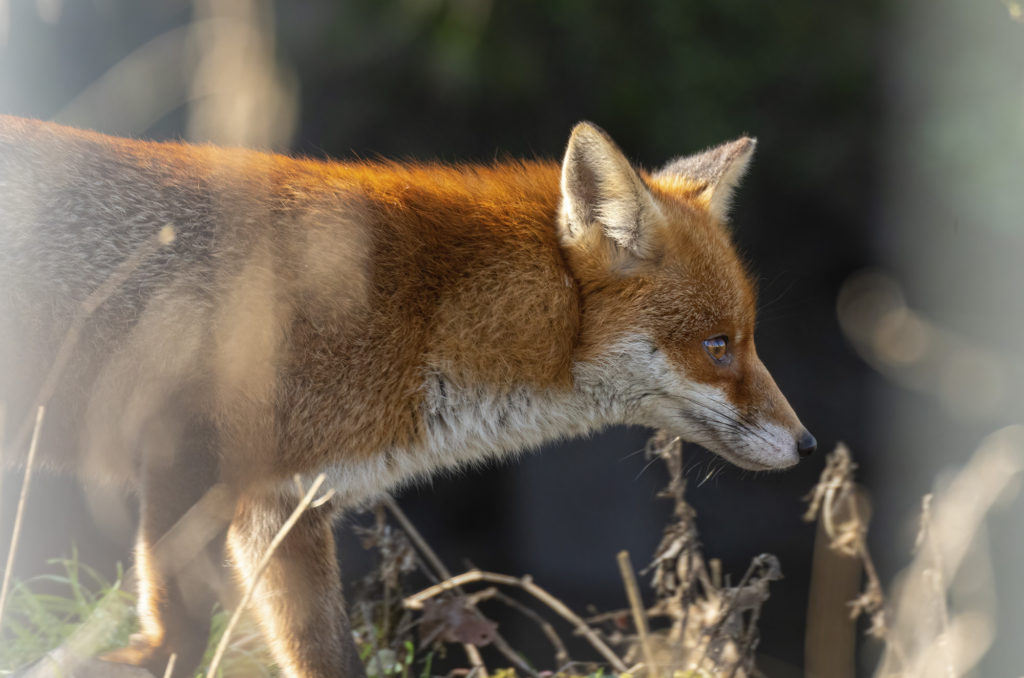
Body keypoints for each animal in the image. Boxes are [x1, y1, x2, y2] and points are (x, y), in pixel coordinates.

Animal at [0, 118, 815, 678]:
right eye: (719, 346)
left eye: (748, 338)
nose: (807, 445)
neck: (422, 319)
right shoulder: (183, 449)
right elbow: (184, 623)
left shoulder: (280, 507)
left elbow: (327, 657)